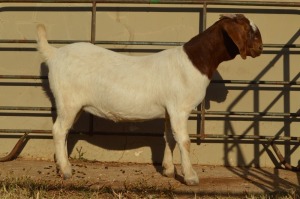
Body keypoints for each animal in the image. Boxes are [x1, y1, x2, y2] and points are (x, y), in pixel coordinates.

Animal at [37, 13, 262, 185]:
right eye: (248, 30)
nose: (260, 48)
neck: (195, 62)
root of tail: (54, 54)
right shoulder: (180, 108)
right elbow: (184, 140)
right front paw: (190, 177)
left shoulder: (169, 110)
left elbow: (169, 137)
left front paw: (168, 170)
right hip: (68, 101)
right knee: (59, 130)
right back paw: (66, 170)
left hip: (72, 105)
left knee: (64, 131)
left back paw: (62, 166)